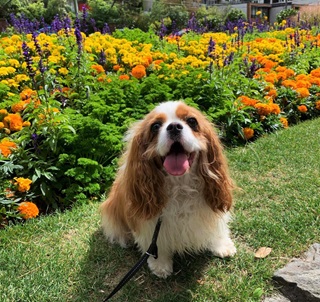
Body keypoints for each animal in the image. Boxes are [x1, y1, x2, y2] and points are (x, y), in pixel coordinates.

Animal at [101, 101, 236, 278]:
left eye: (192, 121)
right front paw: (160, 265)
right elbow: (154, 243)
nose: (174, 127)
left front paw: (222, 245)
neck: (180, 183)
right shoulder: (150, 223)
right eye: (155, 126)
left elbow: (218, 227)